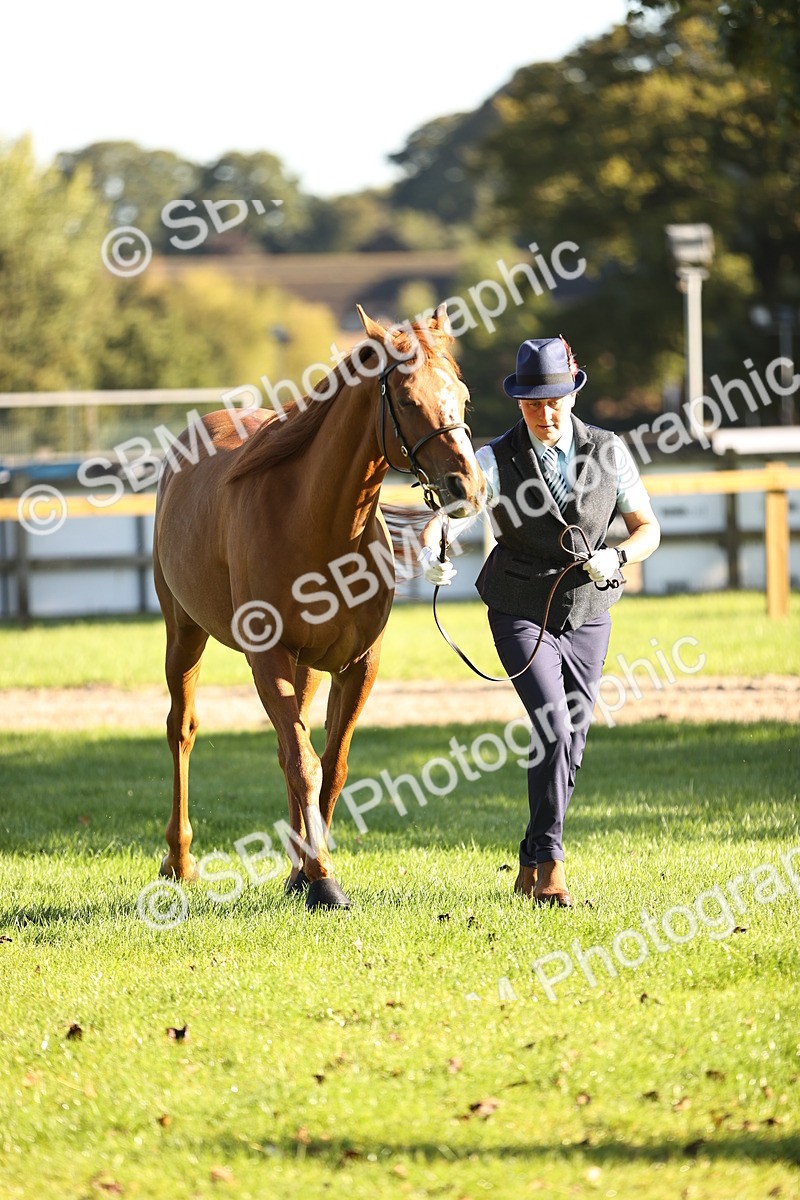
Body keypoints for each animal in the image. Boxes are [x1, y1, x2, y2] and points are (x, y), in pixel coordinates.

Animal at [152, 303, 485, 909]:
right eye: (407, 400)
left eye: (463, 394)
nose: (464, 487)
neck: (317, 524)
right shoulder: (269, 658)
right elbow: (304, 765)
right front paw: (324, 877)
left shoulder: (358, 665)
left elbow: (330, 767)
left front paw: (311, 871)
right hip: (184, 633)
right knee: (182, 730)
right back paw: (180, 861)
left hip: (304, 667)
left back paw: (293, 870)